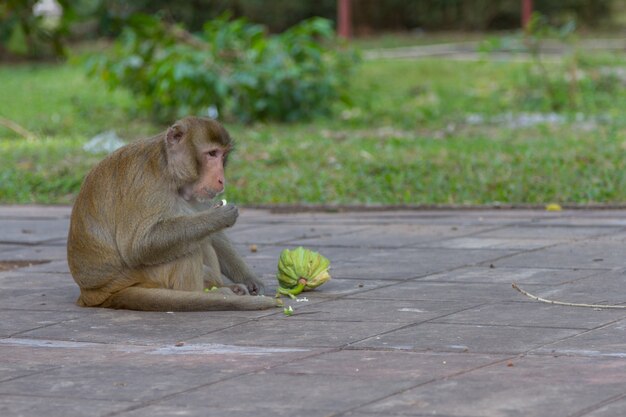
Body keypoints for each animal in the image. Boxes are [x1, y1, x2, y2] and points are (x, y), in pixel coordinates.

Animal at [65, 115, 276, 310]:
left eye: (223, 155)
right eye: (212, 153)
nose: (221, 180)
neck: (170, 171)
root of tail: (94, 293)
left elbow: (214, 236)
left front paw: (251, 280)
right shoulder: (145, 182)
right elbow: (138, 246)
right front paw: (218, 217)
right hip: (146, 276)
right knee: (187, 246)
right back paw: (202, 294)